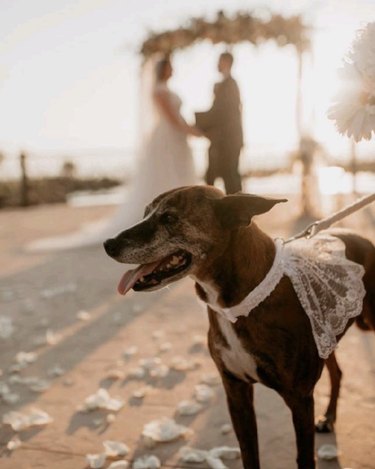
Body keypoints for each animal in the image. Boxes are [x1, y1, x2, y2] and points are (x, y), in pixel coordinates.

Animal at [103, 185, 375, 466]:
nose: (108, 244)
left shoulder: (299, 398)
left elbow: (304, 457)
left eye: (169, 218)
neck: (240, 302)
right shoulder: (236, 391)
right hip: (325, 335)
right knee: (337, 373)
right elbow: (248, 453)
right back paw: (329, 418)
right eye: (145, 213)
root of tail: (361, 237)